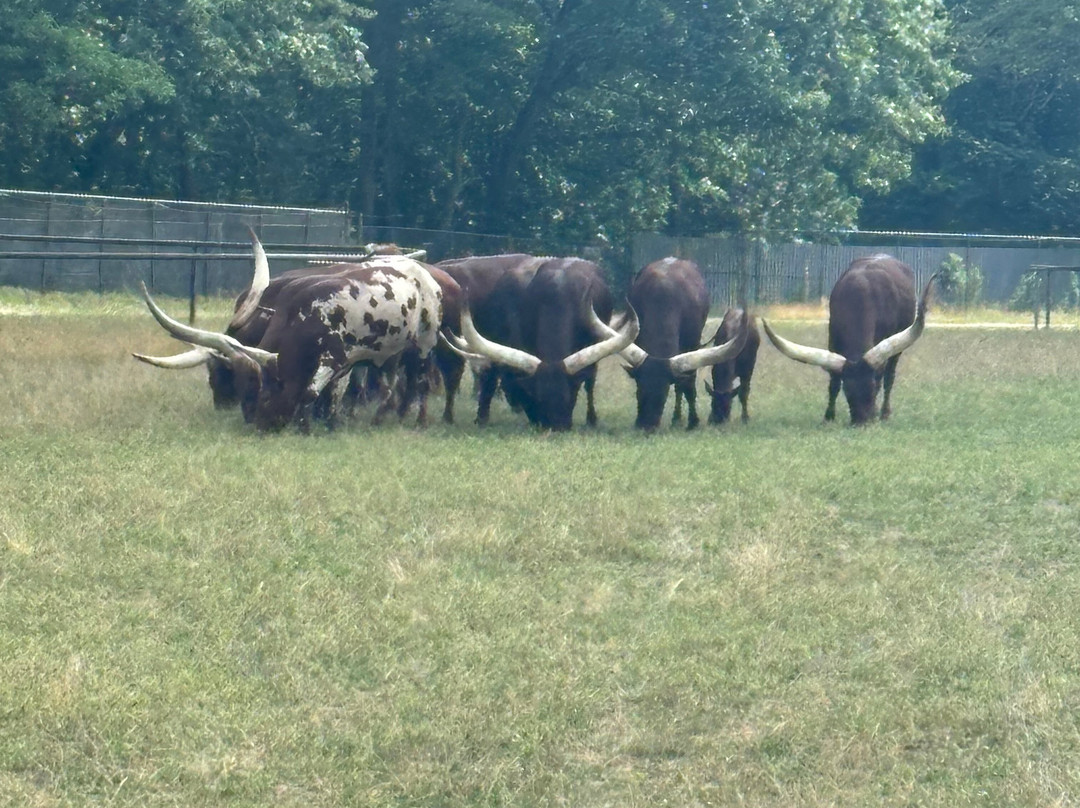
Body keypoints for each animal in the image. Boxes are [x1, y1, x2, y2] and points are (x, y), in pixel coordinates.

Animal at [760, 256, 937, 425]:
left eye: (873, 388)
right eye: (848, 390)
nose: (862, 421)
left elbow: (883, 379)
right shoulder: (833, 340)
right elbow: (833, 384)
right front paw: (828, 417)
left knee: (889, 377)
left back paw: (885, 413)